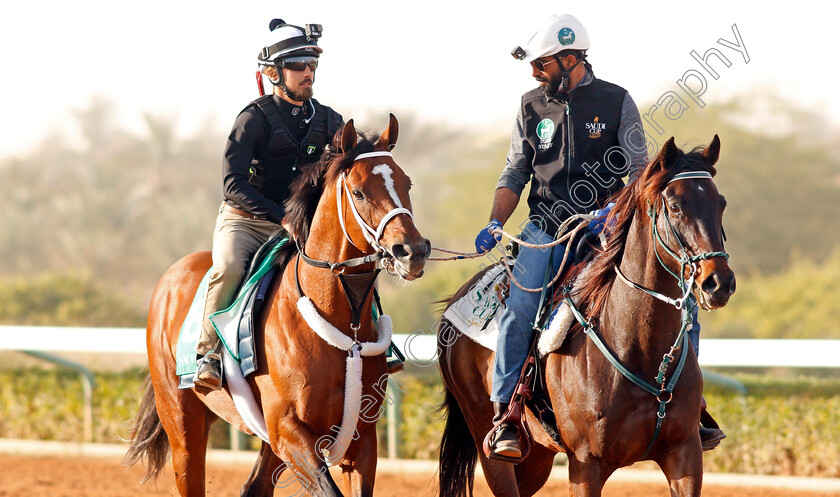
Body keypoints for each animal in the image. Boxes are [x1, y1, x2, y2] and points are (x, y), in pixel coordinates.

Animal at [123, 115, 434, 496]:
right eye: (359, 192)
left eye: (406, 183)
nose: (413, 250)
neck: (341, 320)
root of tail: (169, 279)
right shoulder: (289, 429)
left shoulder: (360, 437)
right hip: (182, 419)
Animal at [440, 134, 736, 494]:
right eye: (676, 206)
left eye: (721, 203)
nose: (719, 282)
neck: (639, 348)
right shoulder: (586, 463)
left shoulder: (685, 454)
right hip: (490, 445)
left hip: (537, 458)